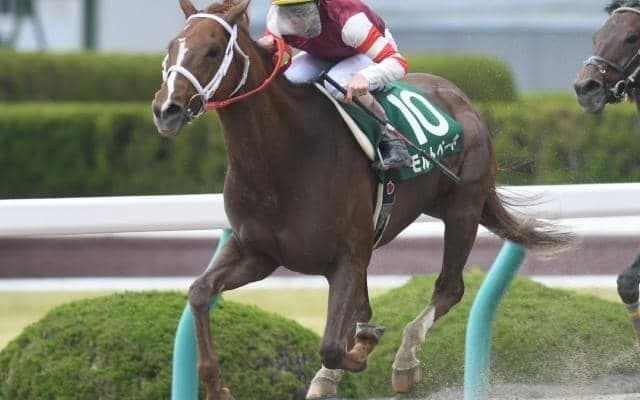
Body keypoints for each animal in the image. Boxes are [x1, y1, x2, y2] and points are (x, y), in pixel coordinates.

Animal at [152, 1, 570, 399]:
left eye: (212, 50)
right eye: (172, 46)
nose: (166, 110)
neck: (282, 160)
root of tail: (458, 95)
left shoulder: (347, 256)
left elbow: (333, 345)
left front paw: (362, 346)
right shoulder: (257, 252)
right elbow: (199, 292)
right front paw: (216, 385)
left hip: (463, 209)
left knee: (449, 289)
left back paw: (405, 360)